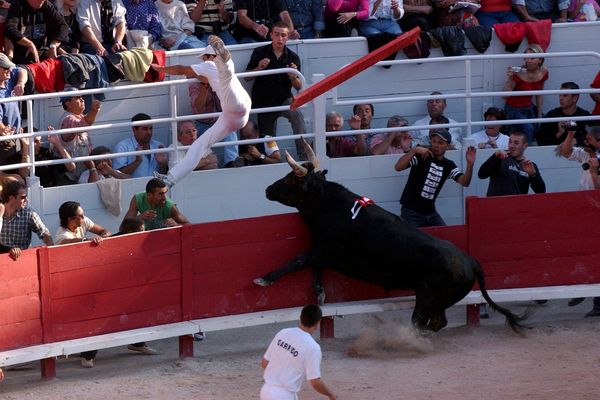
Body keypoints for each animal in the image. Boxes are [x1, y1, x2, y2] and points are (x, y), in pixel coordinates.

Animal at [255, 159, 524, 332]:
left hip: (427, 298)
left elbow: (298, 260)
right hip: (438, 301)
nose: (267, 189)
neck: (328, 204)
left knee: (421, 321)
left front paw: (263, 279)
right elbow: (313, 267)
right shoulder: (322, 252)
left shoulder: (324, 249)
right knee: (438, 322)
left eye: (290, 178)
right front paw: (319, 294)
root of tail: (471, 261)